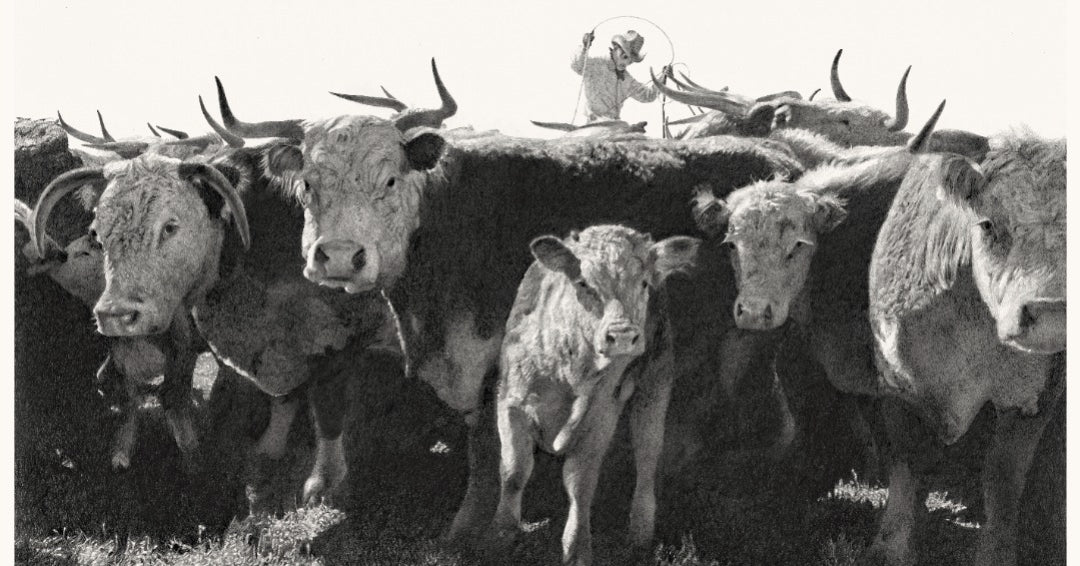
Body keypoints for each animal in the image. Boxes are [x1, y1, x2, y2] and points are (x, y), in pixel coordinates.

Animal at [30, 134, 398, 514]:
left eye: (171, 225)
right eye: (98, 232)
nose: (116, 315)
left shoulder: (338, 335)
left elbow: (326, 408)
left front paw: (321, 484)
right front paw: (263, 452)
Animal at [491, 226, 698, 566]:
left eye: (643, 282)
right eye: (583, 283)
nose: (623, 335)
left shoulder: (599, 415)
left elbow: (580, 483)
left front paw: (576, 548)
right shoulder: (511, 401)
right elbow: (514, 472)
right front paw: (500, 534)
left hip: (655, 383)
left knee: (647, 456)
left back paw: (640, 531)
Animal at [863, 132, 1065, 566]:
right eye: (988, 223)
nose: (1052, 311)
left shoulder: (1033, 399)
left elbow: (1003, 476)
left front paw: (997, 552)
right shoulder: (896, 387)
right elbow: (907, 462)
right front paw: (891, 546)